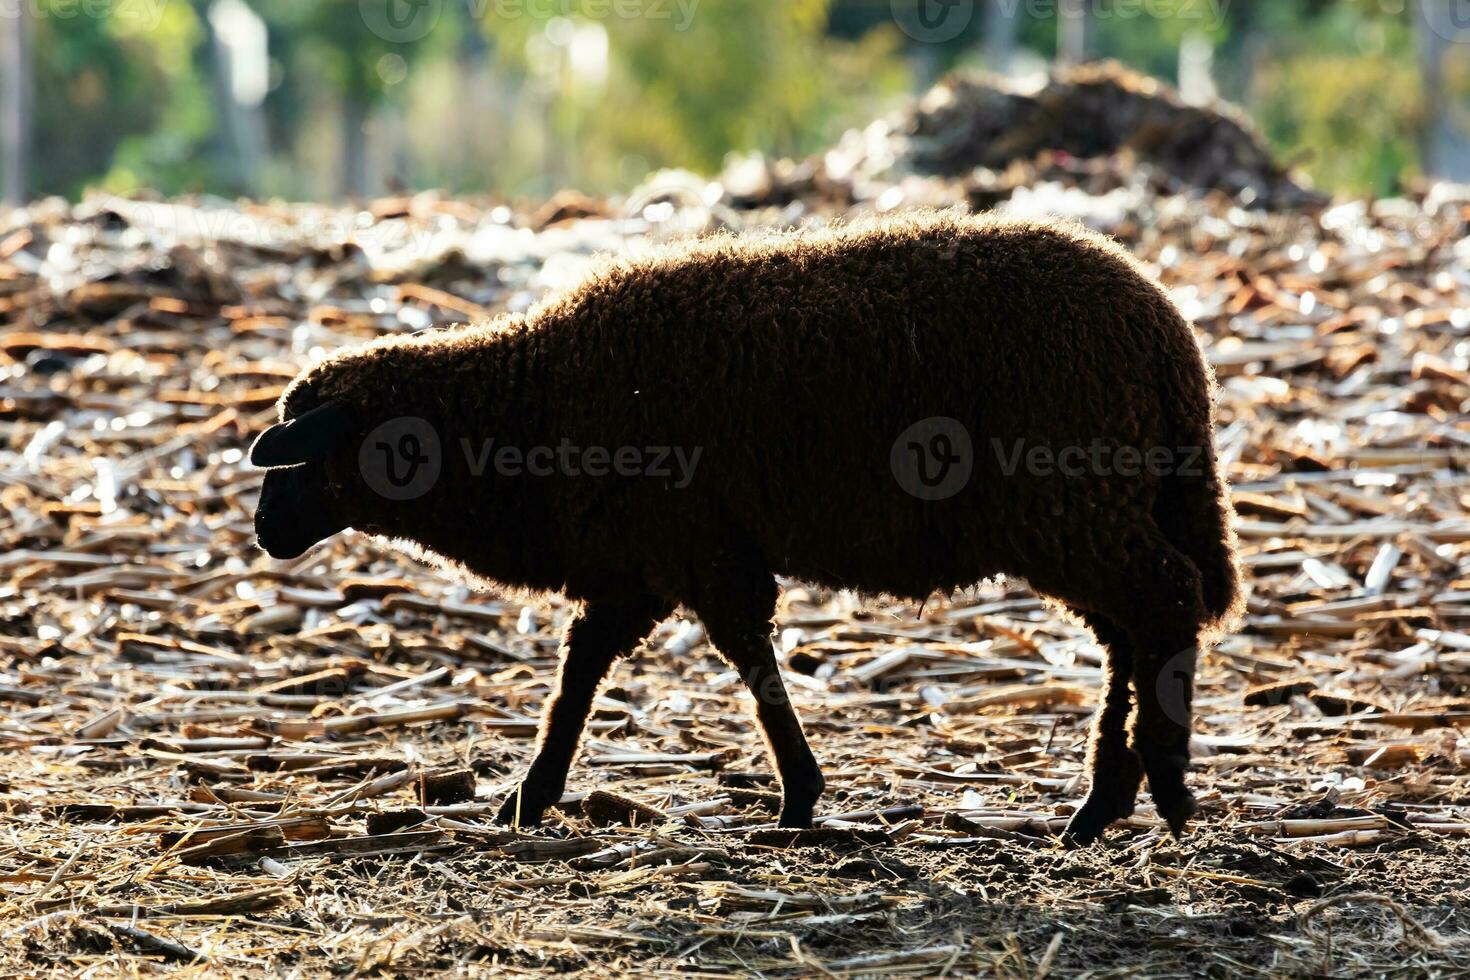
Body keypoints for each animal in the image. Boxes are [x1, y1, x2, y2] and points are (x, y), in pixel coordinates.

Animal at [249, 213, 1240, 846]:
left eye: (308, 454)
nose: (263, 530)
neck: (528, 403)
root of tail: (1169, 337)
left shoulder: (697, 548)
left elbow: (747, 660)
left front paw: (799, 797)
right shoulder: (644, 564)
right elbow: (580, 674)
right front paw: (531, 797)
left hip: (1071, 500)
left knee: (1164, 602)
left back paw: (1165, 787)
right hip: (1097, 506)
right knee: (1131, 632)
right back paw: (1102, 802)